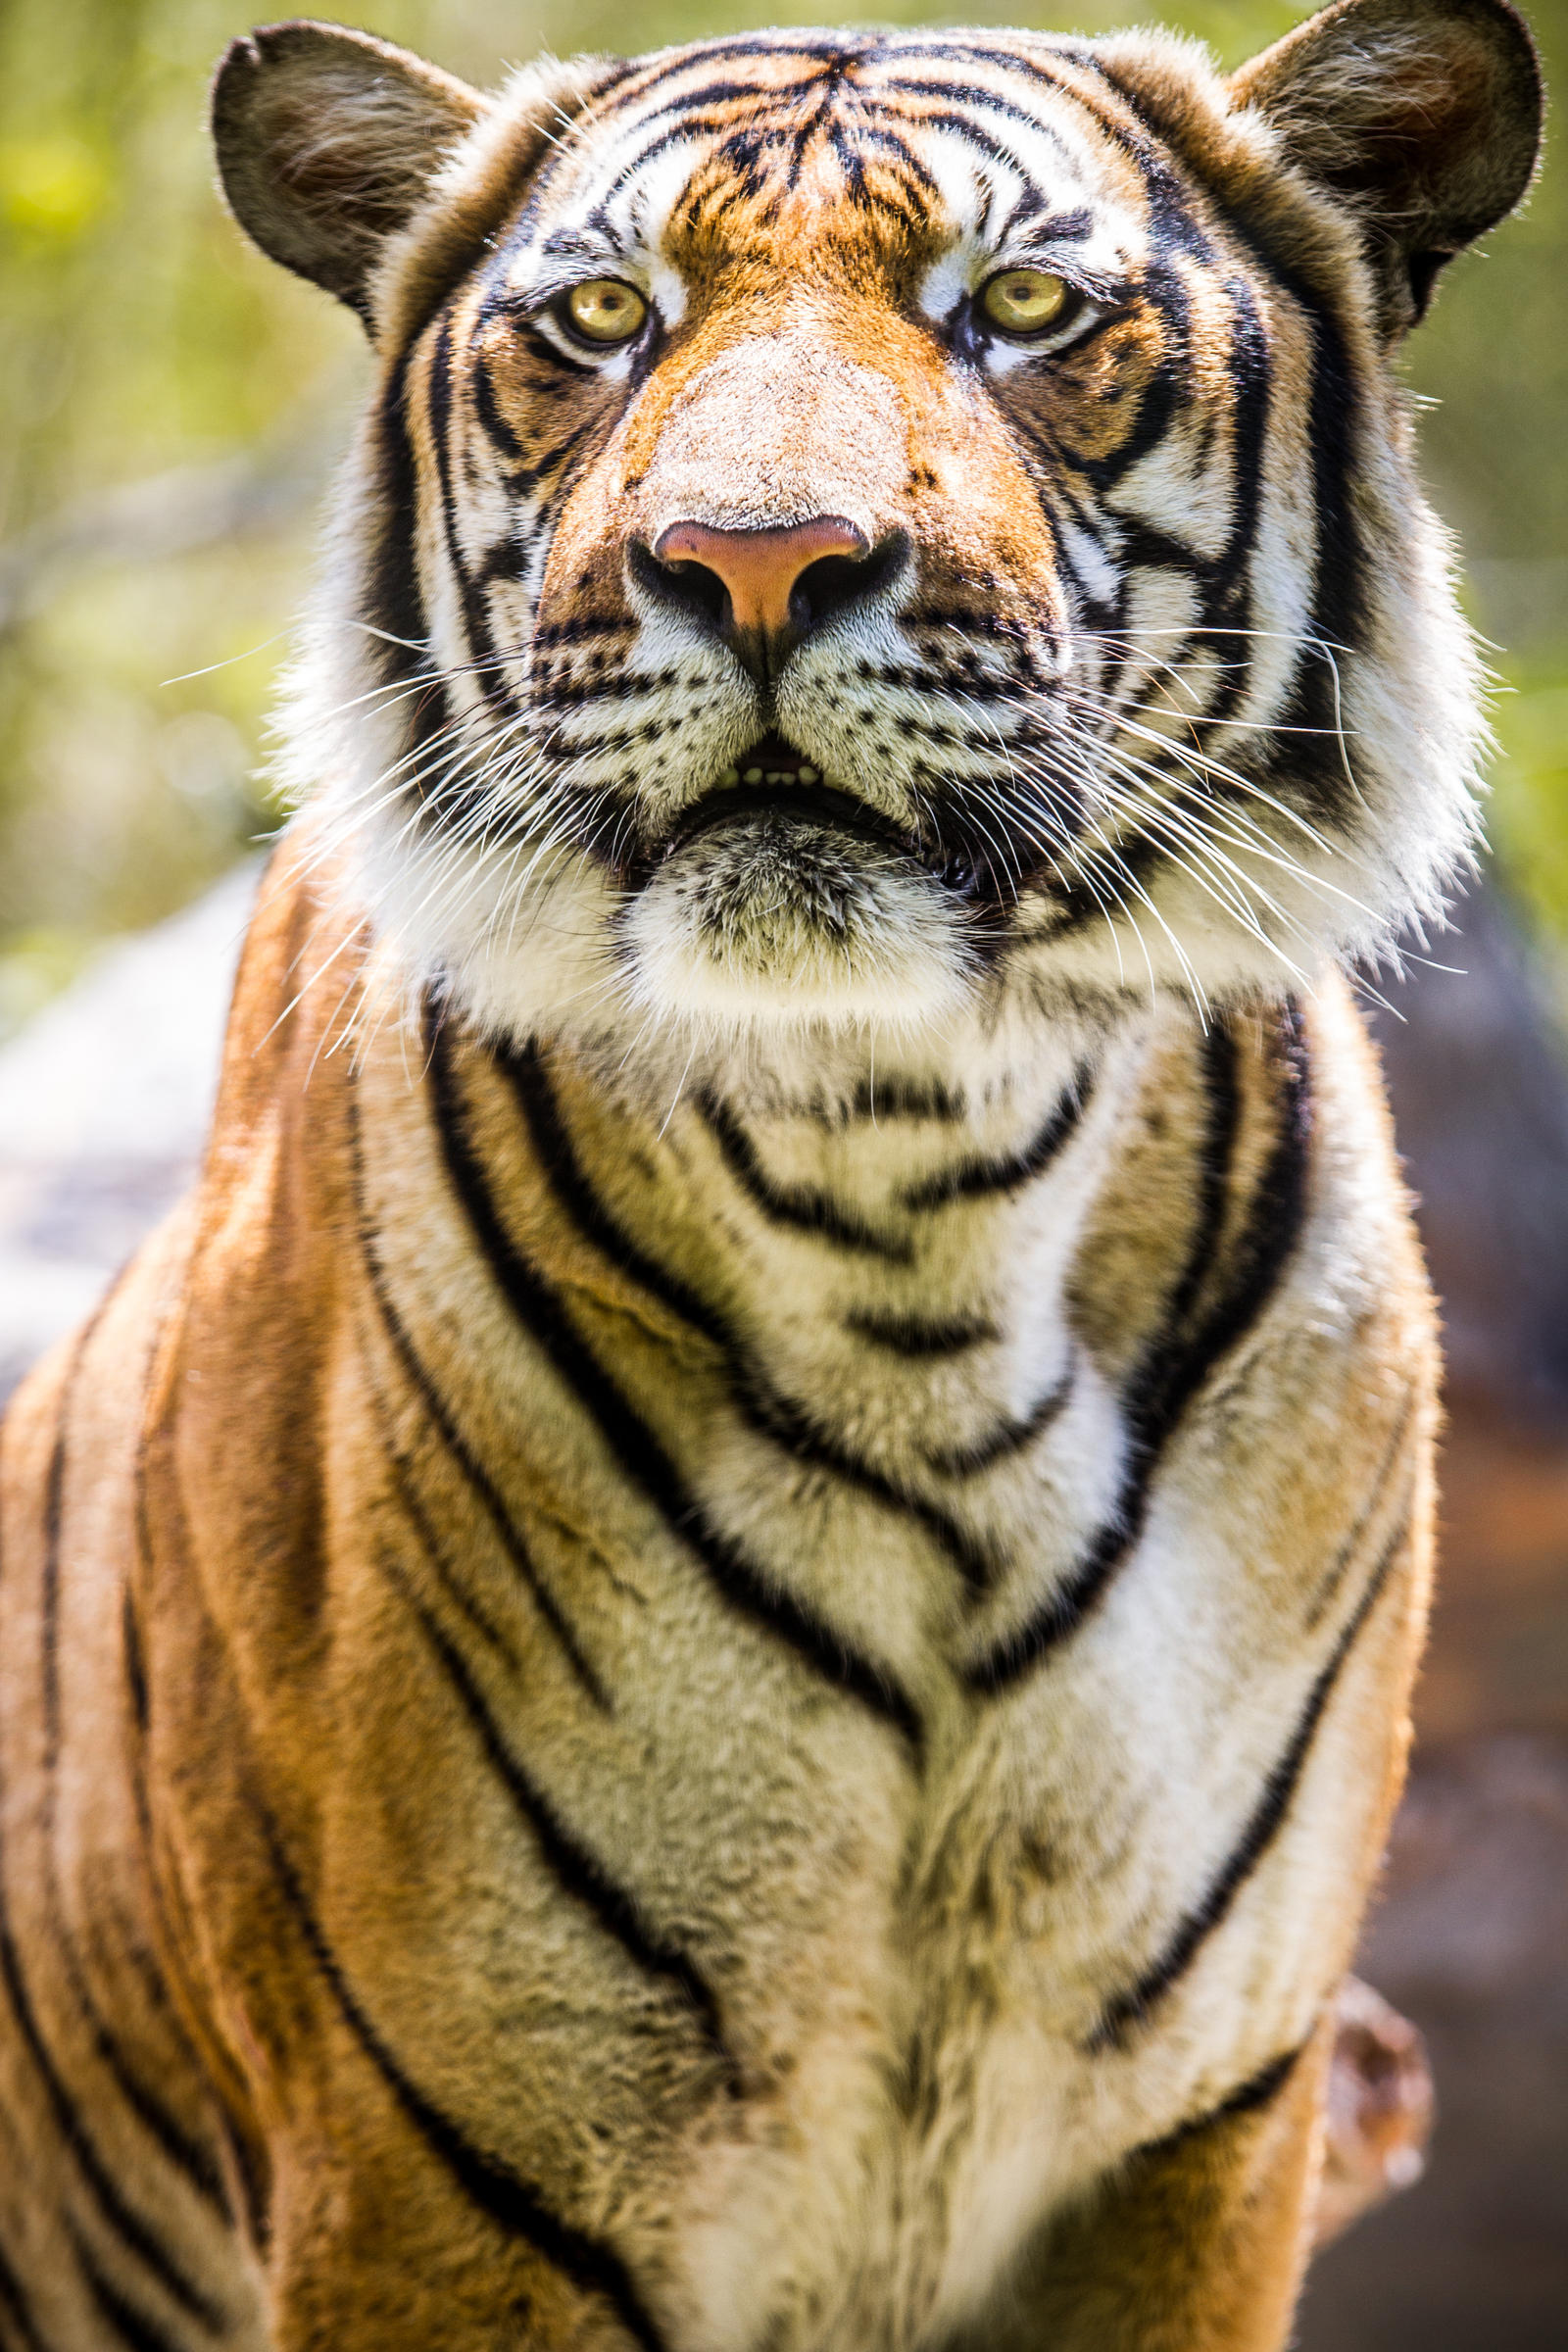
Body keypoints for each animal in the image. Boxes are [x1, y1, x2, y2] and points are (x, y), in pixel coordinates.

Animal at [0, 0, 1542, 2342]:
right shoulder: (436, 2169)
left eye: (1021, 309)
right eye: (602, 320)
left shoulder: (1198, 2142)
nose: (751, 564)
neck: (915, 1177)